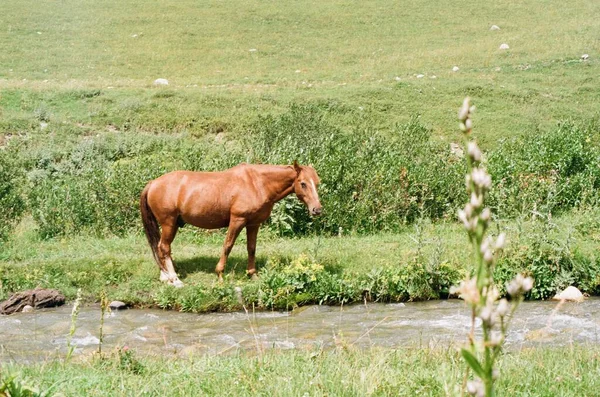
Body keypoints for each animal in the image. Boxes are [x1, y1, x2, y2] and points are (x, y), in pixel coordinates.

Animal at [139, 159, 322, 286]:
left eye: (317, 183)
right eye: (303, 183)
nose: (317, 209)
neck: (257, 183)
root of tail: (153, 183)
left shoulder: (253, 224)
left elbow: (251, 248)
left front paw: (252, 274)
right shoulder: (237, 220)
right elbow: (227, 246)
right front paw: (220, 274)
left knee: (160, 247)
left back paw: (165, 276)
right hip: (169, 223)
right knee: (164, 247)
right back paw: (174, 278)